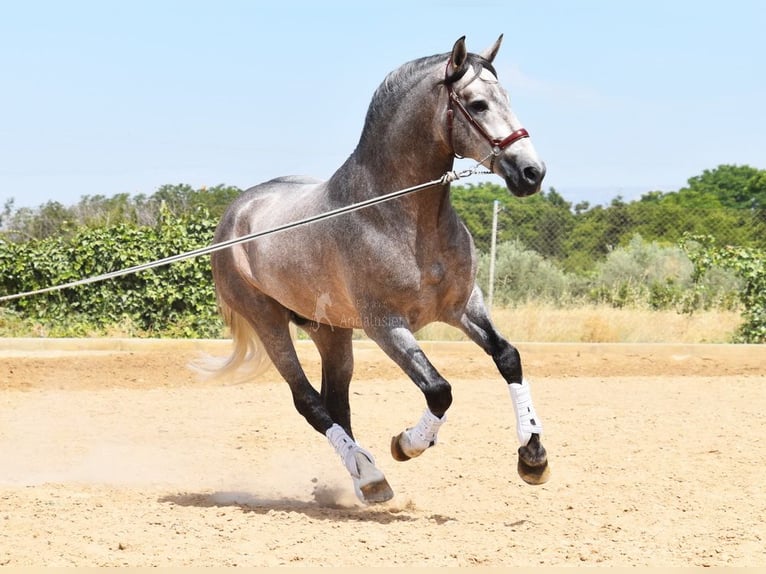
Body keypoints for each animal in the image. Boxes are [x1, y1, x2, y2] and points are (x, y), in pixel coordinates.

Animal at [208, 36, 552, 504]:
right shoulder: (386, 325)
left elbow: (507, 357)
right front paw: (407, 444)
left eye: (508, 99)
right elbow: (439, 390)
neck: (399, 217)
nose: (532, 173)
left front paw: (533, 456)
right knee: (309, 401)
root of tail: (235, 213)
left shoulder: (464, 306)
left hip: (330, 331)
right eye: (478, 104)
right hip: (268, 322)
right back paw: (370, 475)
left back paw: (362, 475)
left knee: (336, 402)